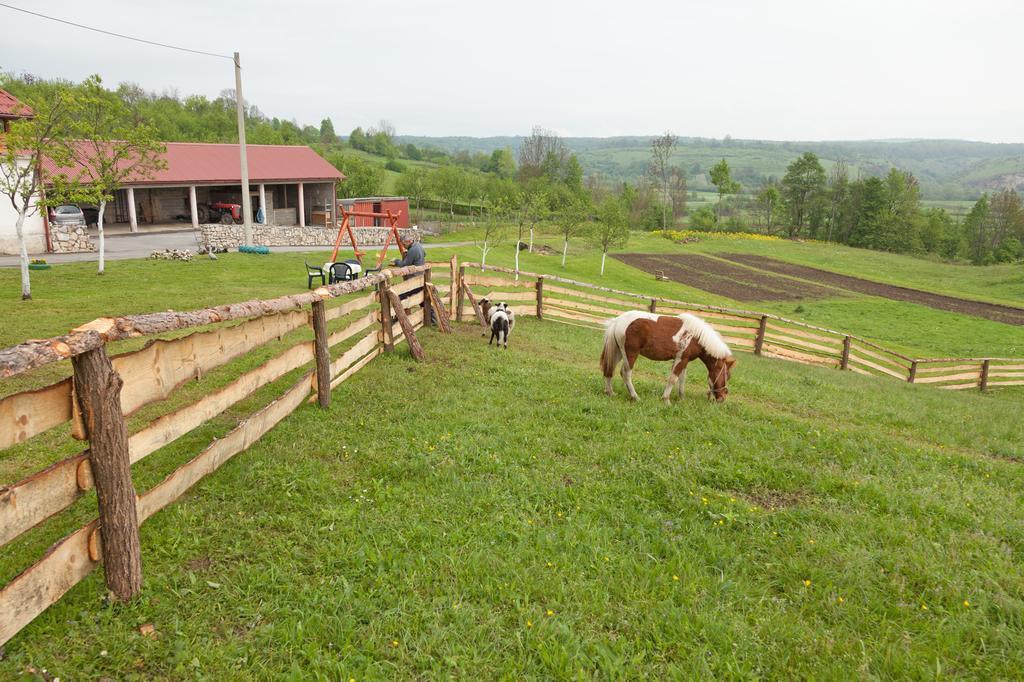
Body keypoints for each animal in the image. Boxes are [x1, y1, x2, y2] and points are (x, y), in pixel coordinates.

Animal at [598, 311, 737, 401]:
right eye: (727, 376)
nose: (723, 397)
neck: (696, 337)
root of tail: (617, 321)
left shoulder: (684, 360)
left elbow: (682, 379)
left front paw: (682, 398)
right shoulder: (680, 359)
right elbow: (673, 379)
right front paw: (666, 399)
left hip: (618, 352)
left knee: (609, 370)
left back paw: (610, 393)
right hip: (630, 354)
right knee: (625, 373)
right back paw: (635, 396)